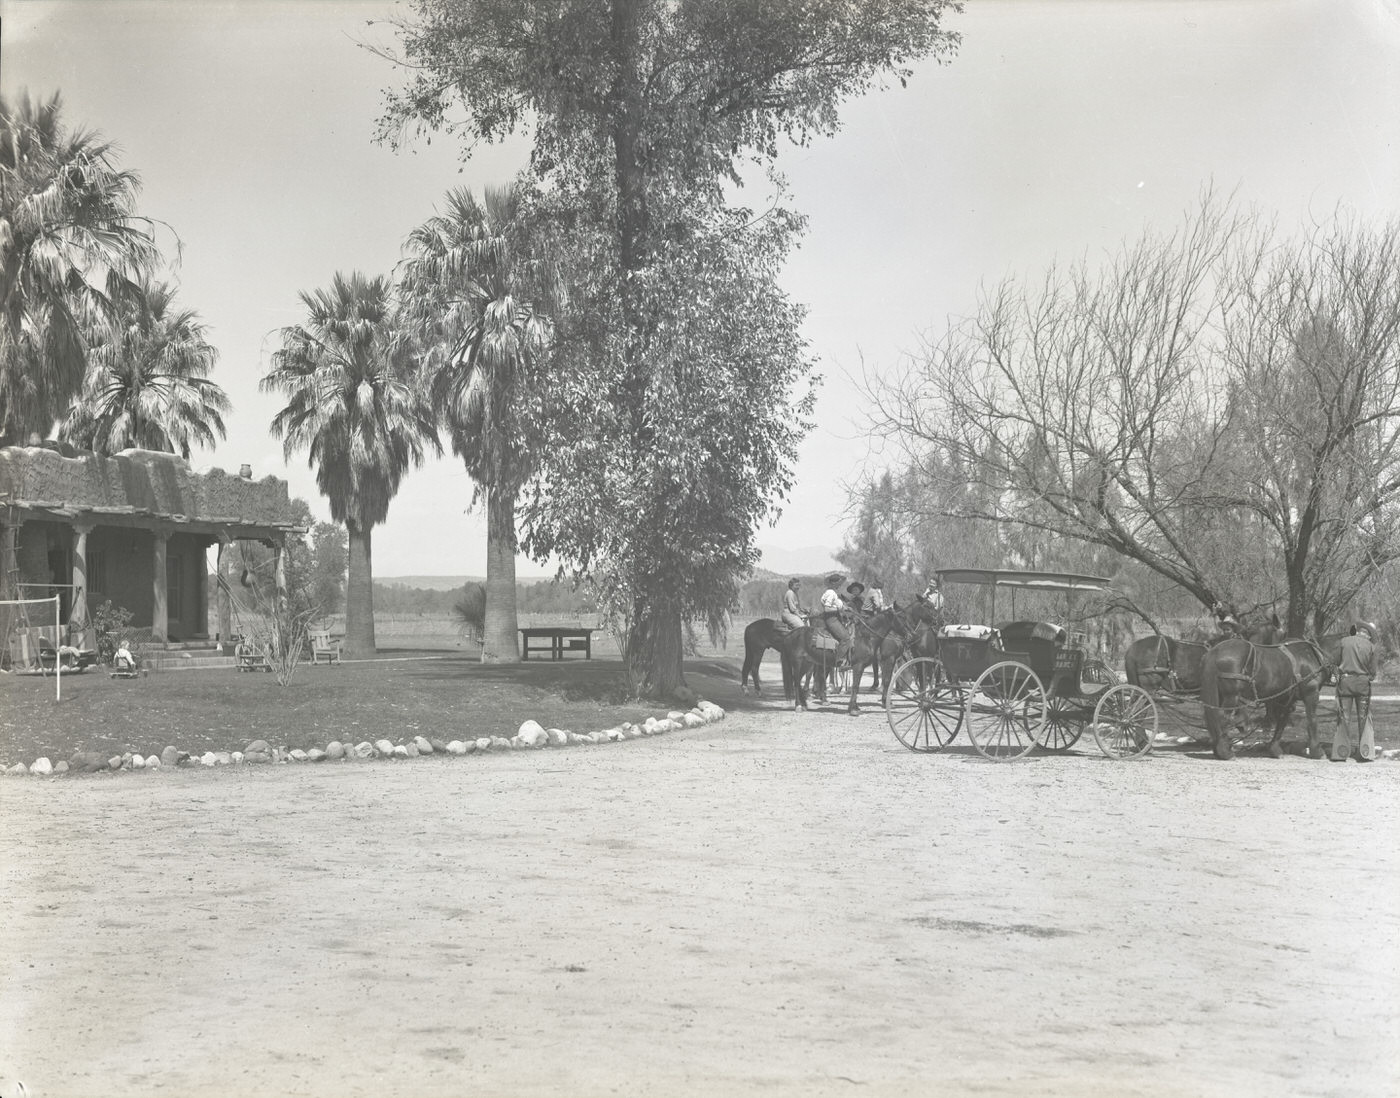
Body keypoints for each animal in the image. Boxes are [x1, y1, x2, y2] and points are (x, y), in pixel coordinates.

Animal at [1198, 621, 1327, 761]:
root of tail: (1215, 651)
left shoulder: (1286, 699)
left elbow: (1282, 722)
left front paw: (1275, 749)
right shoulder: (1311, 693)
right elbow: (1312, 720)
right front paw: (1317, 751)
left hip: (1221, 695)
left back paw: (1219, 748)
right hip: (1231, 696)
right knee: (1222, 717)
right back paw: (1225, 752)